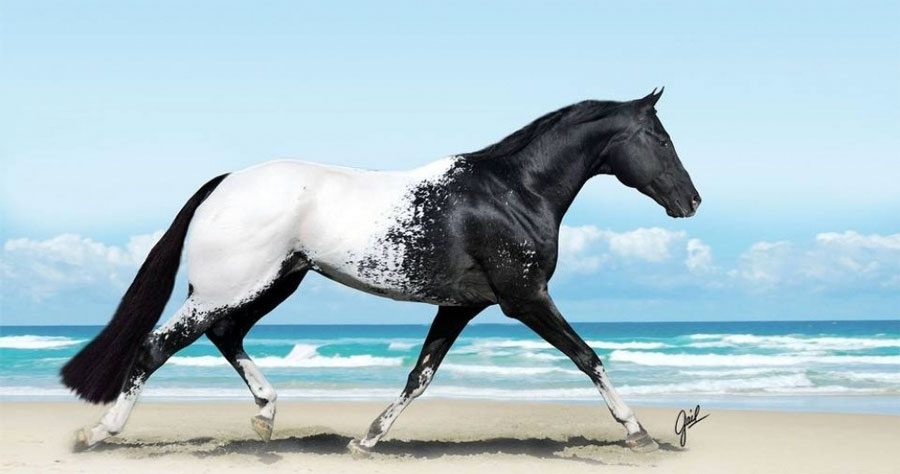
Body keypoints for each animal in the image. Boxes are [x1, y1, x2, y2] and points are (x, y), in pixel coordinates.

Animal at [62, 88, 700, 455]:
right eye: (661, 138)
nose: (691, 202)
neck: (512, 192)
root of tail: (223, 184)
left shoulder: (462, 305)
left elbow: (420, 375)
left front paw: (367, 439)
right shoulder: (524, 297)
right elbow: (588, 356)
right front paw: (637, 431)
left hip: (275, 281)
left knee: (224, 335)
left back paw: (266, 416)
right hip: (231, 286)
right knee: (158, 346)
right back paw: (99, 433)